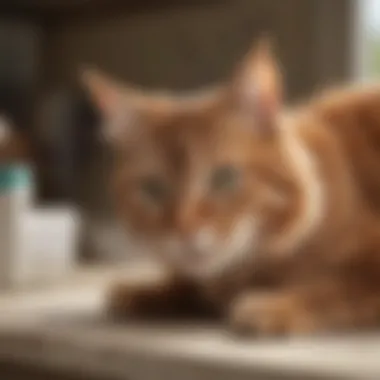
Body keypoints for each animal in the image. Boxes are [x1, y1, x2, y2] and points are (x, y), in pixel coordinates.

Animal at [82, 40, 380, 334]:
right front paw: (147, 291)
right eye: (154, 189)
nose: (183, 230)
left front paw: (276, 305)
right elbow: (189, 284)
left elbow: (333, 290)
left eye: (224, 178)